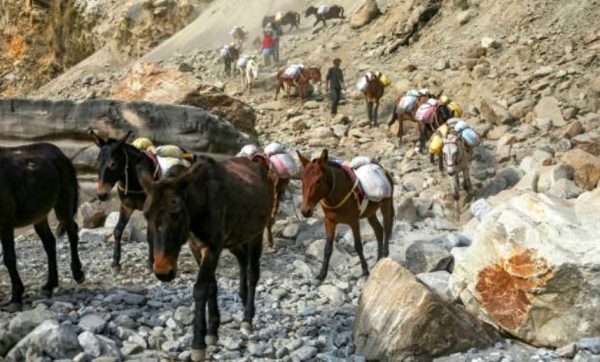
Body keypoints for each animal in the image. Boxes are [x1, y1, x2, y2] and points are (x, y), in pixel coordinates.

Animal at [0, 142, 84, 312]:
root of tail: (58, 151)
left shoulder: (5, 222)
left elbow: (9, 258)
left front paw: (15, 299)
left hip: (63, 203)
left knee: (72, 230)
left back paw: (78, 273)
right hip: (40, 215)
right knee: (49, 242)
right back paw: (49, 285)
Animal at [137, 156, 270, 362]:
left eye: (176, 214)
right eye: (146, 215)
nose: (162, 271)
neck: (198, 209)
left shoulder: (213, 247)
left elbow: (200, 289)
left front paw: (198, 343)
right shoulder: (197, 248)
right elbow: (211, 286)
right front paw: (212, 331)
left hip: (256, 234)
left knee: (253, 273)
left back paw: (248, 318)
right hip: (235, 239)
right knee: (242, 260)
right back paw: (244, 298)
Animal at [298, 149, 396, 280]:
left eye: (318, 180)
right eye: (302, 179)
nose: (305, 211)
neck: (337, 194)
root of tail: (382, 169)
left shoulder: (354, 222)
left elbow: (358, 246)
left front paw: (365, 271)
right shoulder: (329, 222)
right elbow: (327, 248)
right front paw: (322, 274)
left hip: (386, 204)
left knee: (387, 228)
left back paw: (384, 257)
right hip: (370, 213)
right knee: (379, 231)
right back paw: (378, 261)